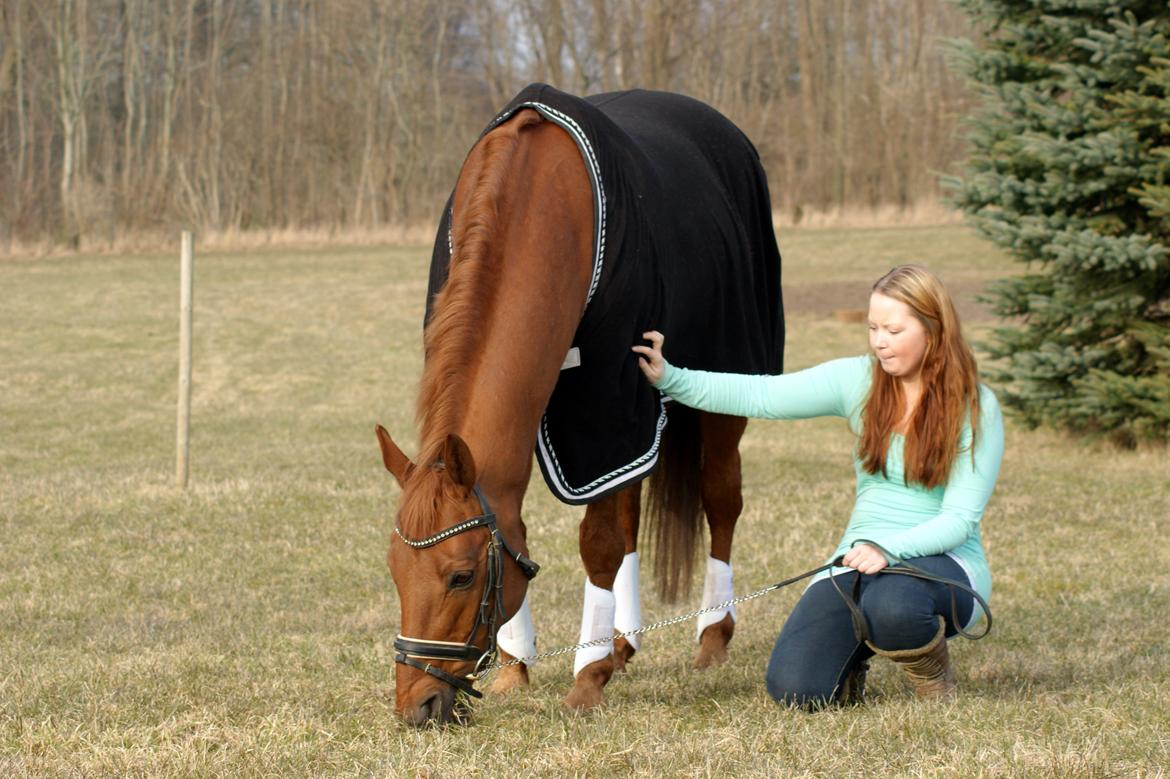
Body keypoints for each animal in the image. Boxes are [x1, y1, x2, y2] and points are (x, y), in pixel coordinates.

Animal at [379, 83, 781, 720]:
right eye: (395, 571)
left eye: (461, 577)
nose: (418, 705)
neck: (538, 207)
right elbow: (525, 521)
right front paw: (517, 665)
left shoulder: (609, 404)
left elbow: (598, 542)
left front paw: (586, 676)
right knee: (632, 511)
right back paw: (623, 640)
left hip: (722, 387)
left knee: (720, 499)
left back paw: (712, 635)